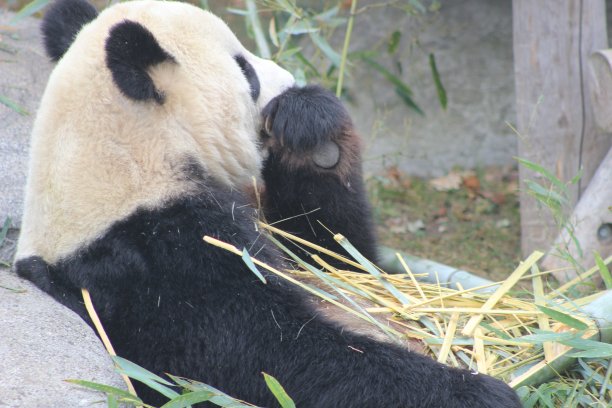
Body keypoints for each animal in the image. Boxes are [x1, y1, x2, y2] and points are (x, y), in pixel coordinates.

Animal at [14, 0, 520, 408]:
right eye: (246, 71)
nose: (289, 80)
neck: (126, 159)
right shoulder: (151, 262)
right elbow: (266, 358)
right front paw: (479, 393)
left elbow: (339, 258)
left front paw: (310, 127)